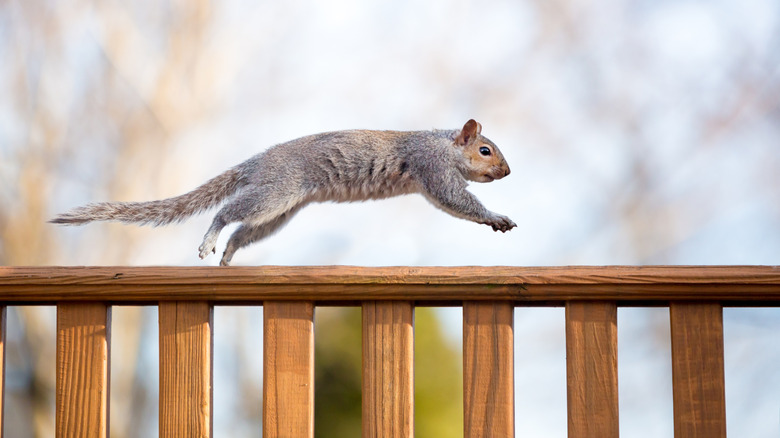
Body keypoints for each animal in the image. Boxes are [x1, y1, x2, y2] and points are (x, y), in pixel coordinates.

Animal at [51, 119, 516, 265]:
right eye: (485, 150)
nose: (507, 171)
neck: (442, 144)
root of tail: (256, 163)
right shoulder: (432, 168)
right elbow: (456, 200)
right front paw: (496, 217)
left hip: (278, 213)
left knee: (243, 231)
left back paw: (228, 255)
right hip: (275, 193)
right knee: (225, 214)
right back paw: (209, 241)